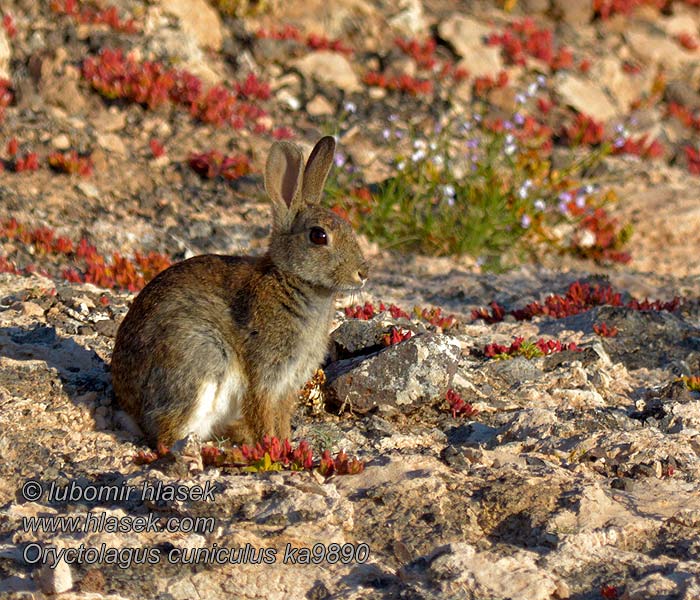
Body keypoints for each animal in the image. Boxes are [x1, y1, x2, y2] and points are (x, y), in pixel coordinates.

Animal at [112, 135, 370, 446]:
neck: (289, 280)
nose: (363, 273)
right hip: (200, 356)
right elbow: (261, 411)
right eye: (319, 236)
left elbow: (281, 416)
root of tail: (130, 414)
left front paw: (285, 444)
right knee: (167, 433)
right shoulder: (264, 372)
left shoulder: (288, 384)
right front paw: (273, 448)